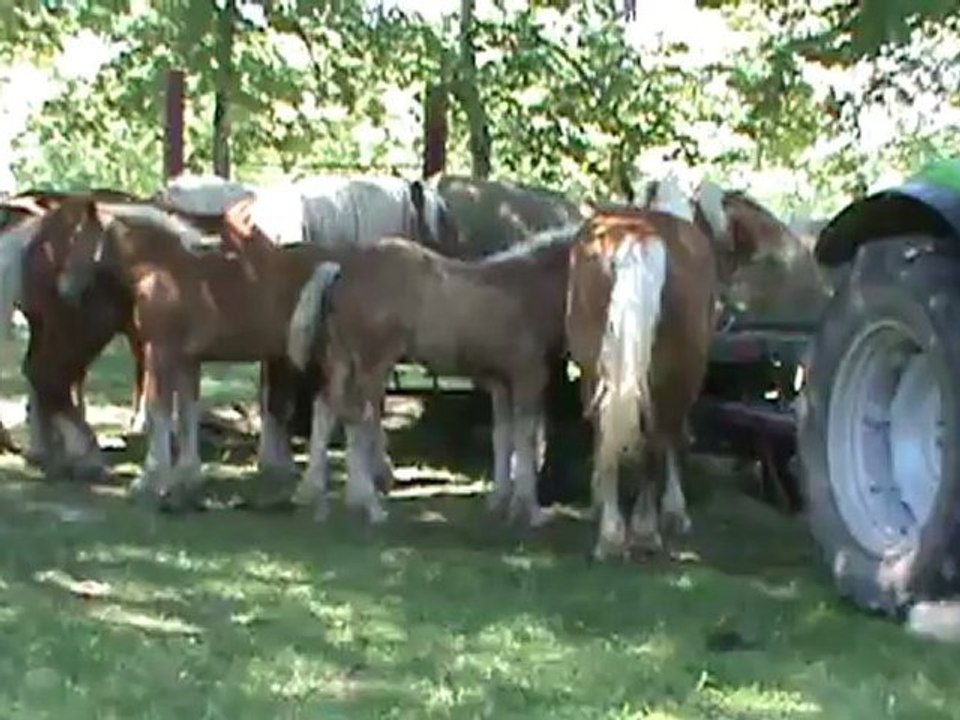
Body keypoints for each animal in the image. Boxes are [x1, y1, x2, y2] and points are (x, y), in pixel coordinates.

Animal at [50, 195, 396, 508]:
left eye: (78, 238)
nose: (64, 288)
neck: (166, 269)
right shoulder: (187, 359)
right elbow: (187, 411)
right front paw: (187, 475)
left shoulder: (161, 353)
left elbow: (158, 410)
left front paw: (148, 479)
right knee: (344, 410)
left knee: (357, 412)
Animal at [565, 177, 722, 561]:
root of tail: (638, 237)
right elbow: (675, 438)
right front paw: (675, 511)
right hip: (674, 370)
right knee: (656, 437)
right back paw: (644, 529)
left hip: (593, 363)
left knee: (605, 427)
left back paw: (610, 530)